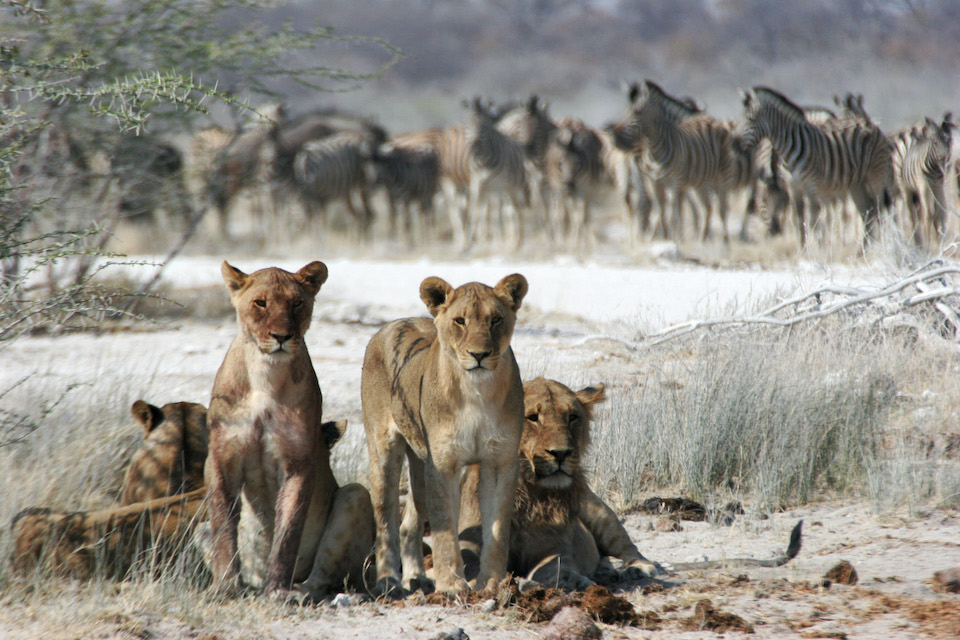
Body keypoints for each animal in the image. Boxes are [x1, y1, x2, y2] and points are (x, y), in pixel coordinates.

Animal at [206, 262, 376, 600]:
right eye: (260, 303)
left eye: (296, 303)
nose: (282, 336)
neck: (265, 375)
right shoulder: (222, 459)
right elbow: (223, 526)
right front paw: (226, 586)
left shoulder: (299, 462)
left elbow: (288, 531)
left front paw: (277, 590)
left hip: (356, 495)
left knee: (321, 577)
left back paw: (298, 591)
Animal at [362, 272, 528, 596]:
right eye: (460, 321)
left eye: (496, 320)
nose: (479, 355)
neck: (477, 390)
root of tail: (392, 324)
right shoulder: (442, 462)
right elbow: (445, 527)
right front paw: (451, 584)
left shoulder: (500, 460)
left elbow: (498, 528)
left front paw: (491, 583)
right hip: (384, 452)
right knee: (386, 521)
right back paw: (389, 582)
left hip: (419, 464)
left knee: (409, 524)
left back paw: (416, 576)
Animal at [740, 86, 896, 251]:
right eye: (764, 200)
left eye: (750, 120)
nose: (737, 145)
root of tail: (872, 126)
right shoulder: (795, 187)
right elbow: (799, 219)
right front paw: (803, 250)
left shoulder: (812, 185)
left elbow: (815, 219)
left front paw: (820, 249)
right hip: (857, 184)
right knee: (867, 212)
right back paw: (861, 250)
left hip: (876, 177)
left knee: (879, 210)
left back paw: (880, 247)